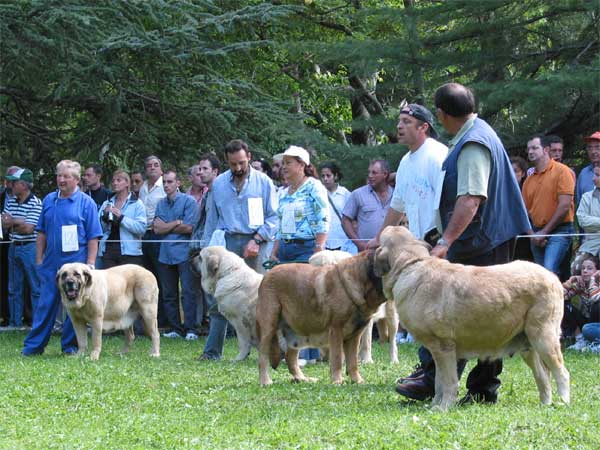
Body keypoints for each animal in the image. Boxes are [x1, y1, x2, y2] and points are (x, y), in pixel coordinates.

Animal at [255, 251, 386, 384]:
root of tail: (267, 275)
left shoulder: (354, 336)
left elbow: (353, 362)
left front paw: (357, 381)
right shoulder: (336, 331)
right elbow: (338, 358)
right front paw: (337, 381)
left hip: (297, 332)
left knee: (290, 358)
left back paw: (303, 378)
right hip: (269, 328)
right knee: (263, 357)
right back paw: (265, 381)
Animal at [372, 227, 568, 410]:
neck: (410, 263)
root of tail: (552, 277)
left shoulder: (443, 347)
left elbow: (448, 382)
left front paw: (443, 407)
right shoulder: (438, 352)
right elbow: (438, 382)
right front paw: (435, 404)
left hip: (543, 338)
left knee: (562, 373)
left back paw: (563, 402)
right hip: (528, 346)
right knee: (543, 377)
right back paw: (545, 404)